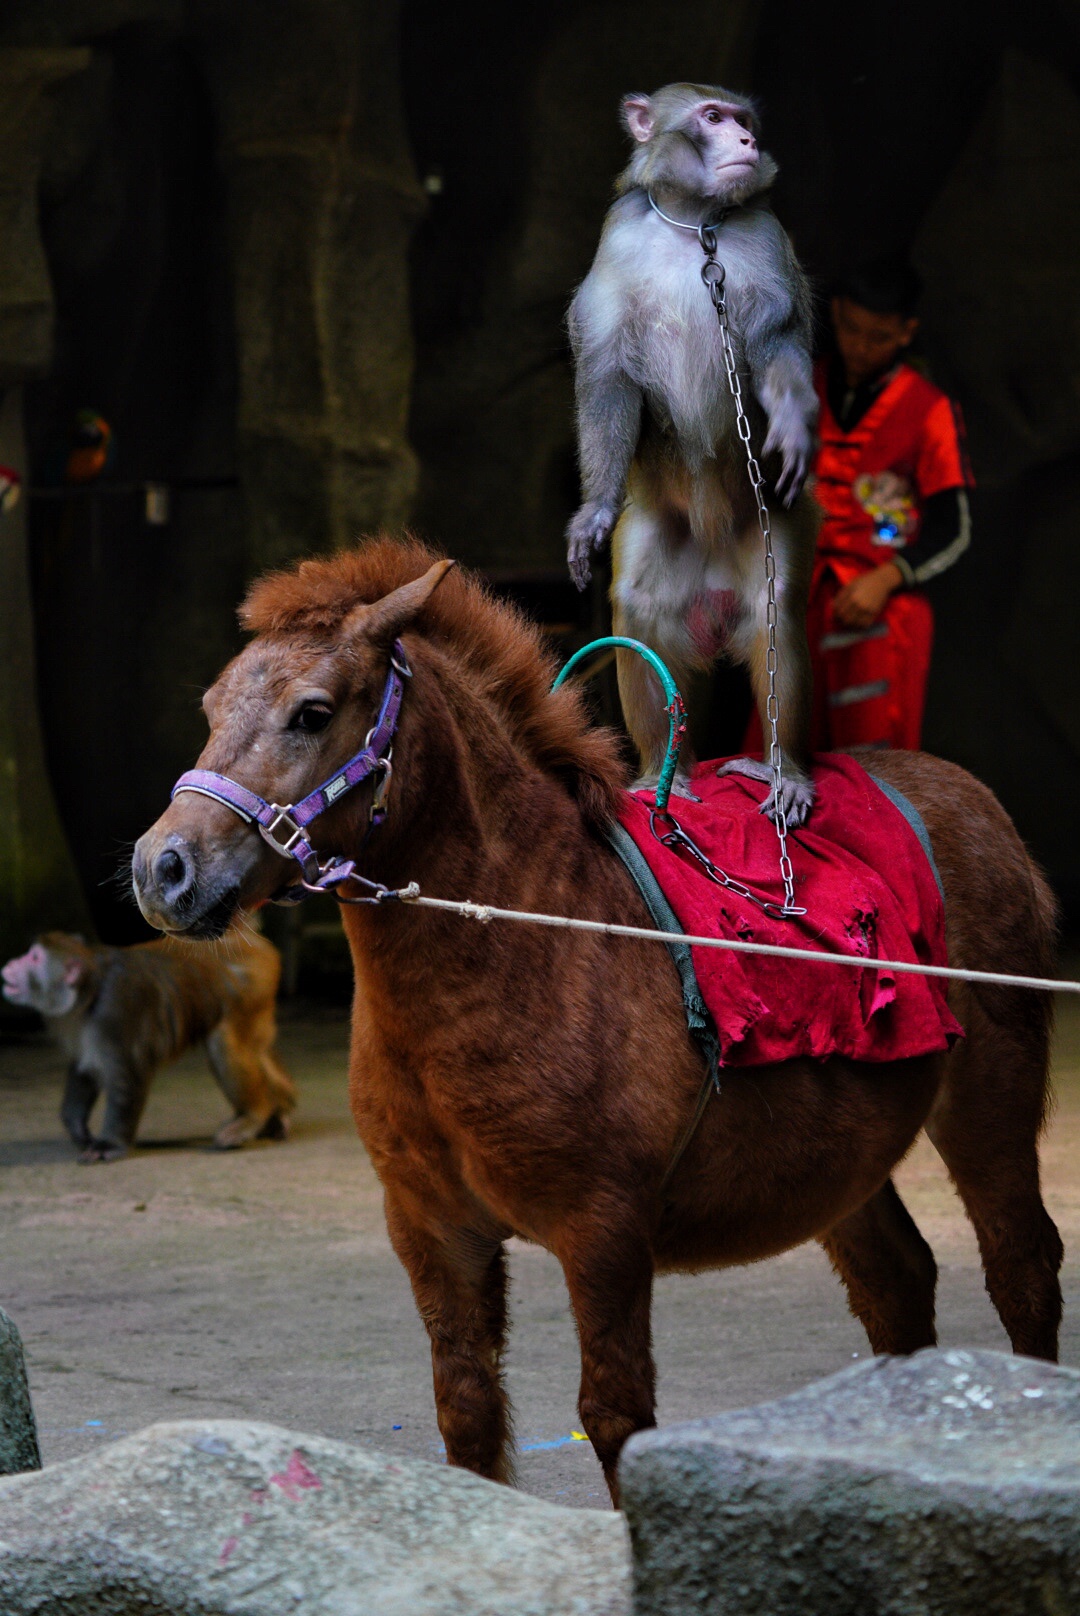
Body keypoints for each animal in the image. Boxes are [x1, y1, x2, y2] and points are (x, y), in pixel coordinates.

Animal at [132, 539, 1060, 1499]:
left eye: (312, 714)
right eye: (212, 707)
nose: (163, 867)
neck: (525, 939)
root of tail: (971, 797)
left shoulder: (603, 1231)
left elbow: (615, 1417)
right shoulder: (430, 1229)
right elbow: (467, 1416)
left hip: (988, 1099)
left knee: (1021, 1267)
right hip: (839, 1161)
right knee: (897, 1288)